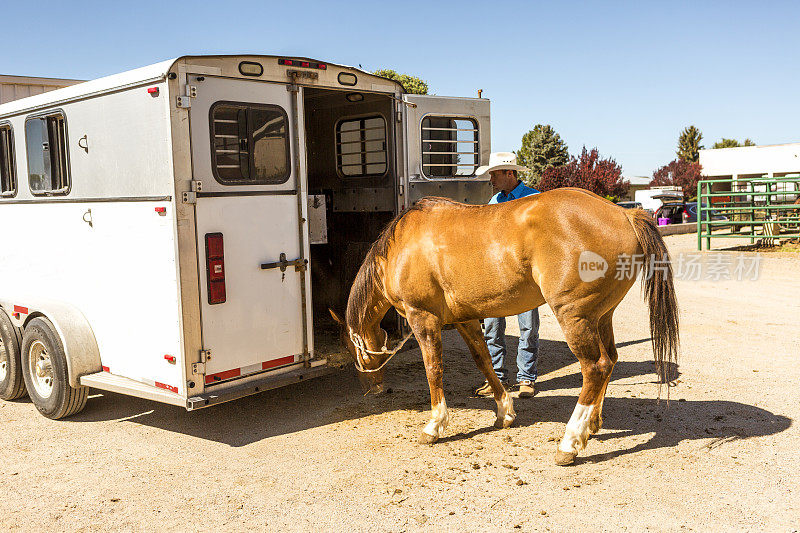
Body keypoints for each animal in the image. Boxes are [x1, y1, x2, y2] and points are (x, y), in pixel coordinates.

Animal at [330, 189, 676, 464]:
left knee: (596, 367)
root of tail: (625, 213)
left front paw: (434, 425)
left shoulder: (422, 318)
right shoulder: (466, 318)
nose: (371, 388)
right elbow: (484, 359)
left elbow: (433, 369)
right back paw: (591, 426)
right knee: (611, 360)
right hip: (601, 316)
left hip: (574, 316)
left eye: (351, 346)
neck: (401, 246)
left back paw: (569, 441)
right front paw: (504, 411)